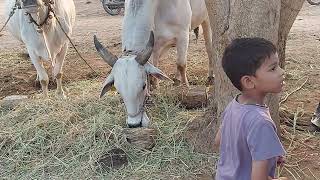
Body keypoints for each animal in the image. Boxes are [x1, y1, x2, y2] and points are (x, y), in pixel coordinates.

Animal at [94, 0, 212, 128]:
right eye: (118, 90)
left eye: (143, 86)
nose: (134, 124)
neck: (157, 6)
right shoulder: (153, 46)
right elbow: (153, 73)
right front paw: (156, 90)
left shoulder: (183, 35)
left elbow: (181, 64)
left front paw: (186, 88)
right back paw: (176, 80)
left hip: (206, 20)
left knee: (209, 47)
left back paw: (210, 77)